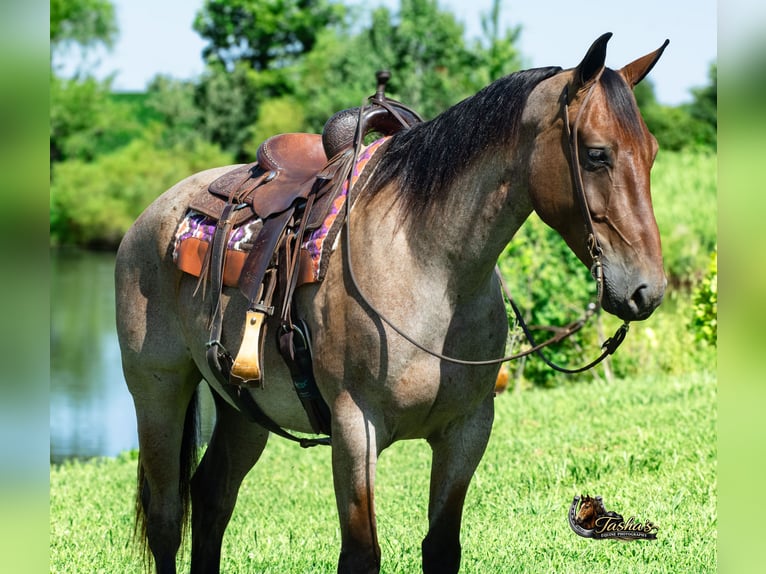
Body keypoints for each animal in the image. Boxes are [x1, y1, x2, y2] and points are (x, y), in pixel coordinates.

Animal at [115, 33, 668, 573]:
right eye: (596, 154)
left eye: (653, 153)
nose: (648, 289)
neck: (427, 265)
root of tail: (151, 215)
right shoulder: (354, 429)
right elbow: (362, 553)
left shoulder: (467, 431)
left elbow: (441, 547)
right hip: (158, 392)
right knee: (167, 518)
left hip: (244, 409)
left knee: (212, 497)